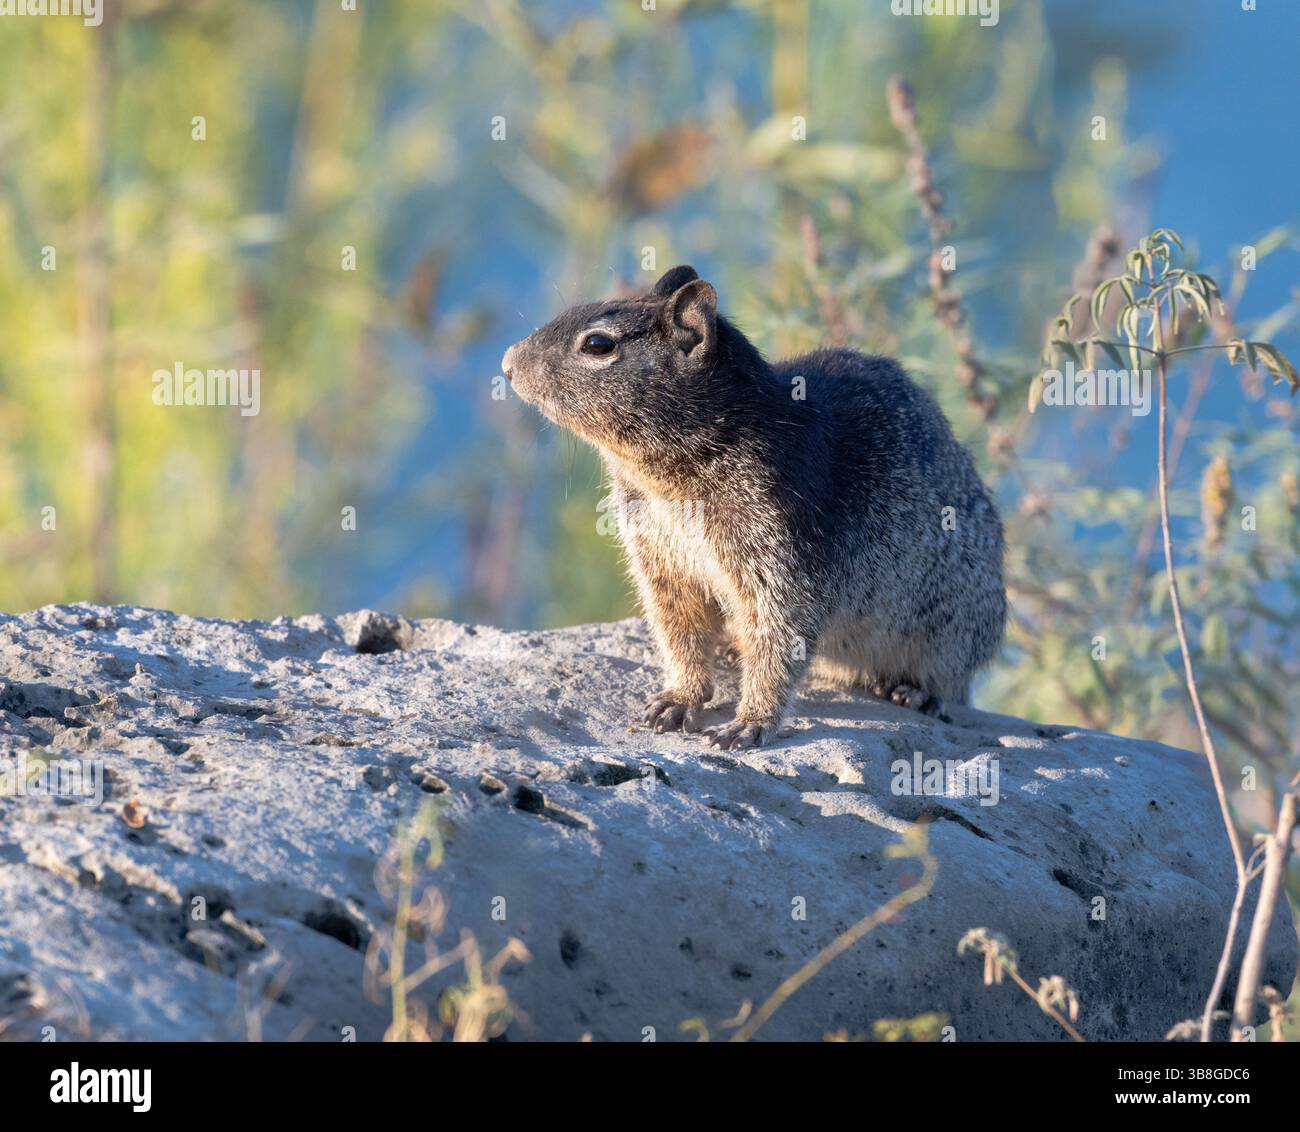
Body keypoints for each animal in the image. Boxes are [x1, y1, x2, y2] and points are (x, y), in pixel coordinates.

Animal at [501, 265, 1005, 750]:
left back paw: (916, 692)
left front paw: (747, 724)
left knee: (951, 680)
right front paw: (676, 699)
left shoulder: (779, 552)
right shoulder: (658, 560)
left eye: (598, 343)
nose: (506, 363)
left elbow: (777, 635)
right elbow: (677, 629)